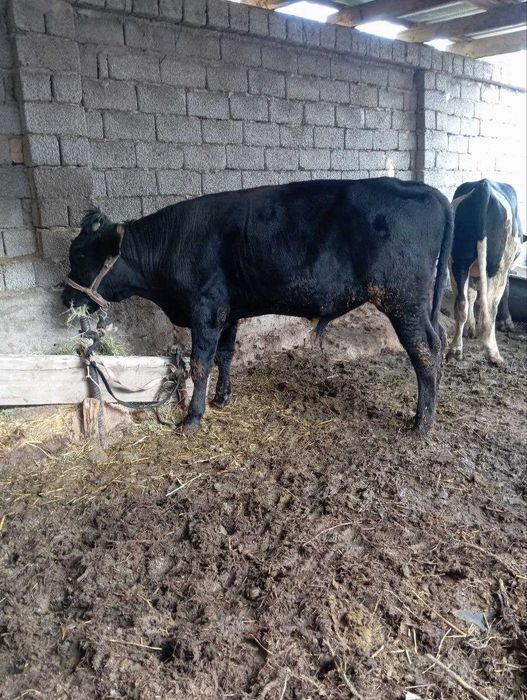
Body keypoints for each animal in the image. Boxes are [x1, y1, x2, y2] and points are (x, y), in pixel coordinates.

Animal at [62, 177, 453, 434]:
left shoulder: (205, 309)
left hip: (402, 299)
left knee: (426, 350)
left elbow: (200, 364)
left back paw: (422, 423)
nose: (66, 297)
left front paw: (193, 418)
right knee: (440, 339)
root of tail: (422, 188)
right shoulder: (229, 310)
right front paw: (222, 399)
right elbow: (225, 355)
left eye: (79, 254)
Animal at [448, 179, 524, 364]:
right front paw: (507, 322)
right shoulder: (506, 268)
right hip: (497, 266)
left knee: (461, 303)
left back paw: (455, 349)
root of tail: (484, 187)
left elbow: (471, 294)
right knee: (489, 308)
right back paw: (493, 354)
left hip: (457, 261)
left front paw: (470, 329)